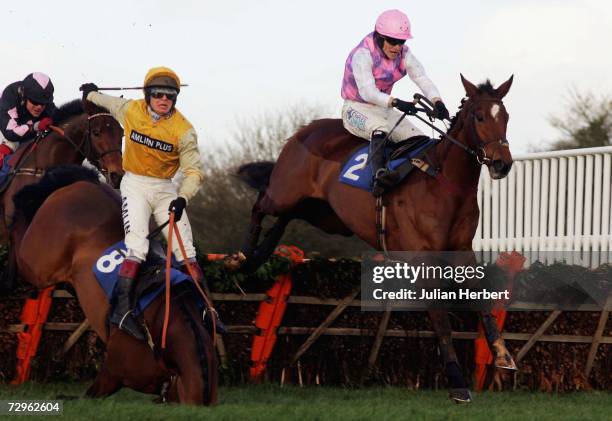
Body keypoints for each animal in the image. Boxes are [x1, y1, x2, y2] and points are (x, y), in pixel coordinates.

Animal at [237, 74, 520, 400]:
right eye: (480, 116)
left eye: (506, 117)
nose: (502, 164)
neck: (443, 182)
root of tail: (302, 132)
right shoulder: (423, 257)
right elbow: (440, 318)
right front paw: (457, 381)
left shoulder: (461, 250)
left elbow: (482, 300)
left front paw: (503, 355)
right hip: (285, 194)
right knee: (260, 203)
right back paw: (244, 258)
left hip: (326, 216)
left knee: (284, 218)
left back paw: (261, 253)